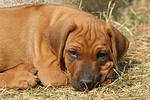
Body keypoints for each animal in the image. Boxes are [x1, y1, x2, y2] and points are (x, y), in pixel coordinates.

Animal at [0, 4, 129, 90]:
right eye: (72, 52)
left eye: (102, 55)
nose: (86, 83)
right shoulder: (49, 71)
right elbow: (66, 75)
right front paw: (107, 74)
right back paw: (21, 78)